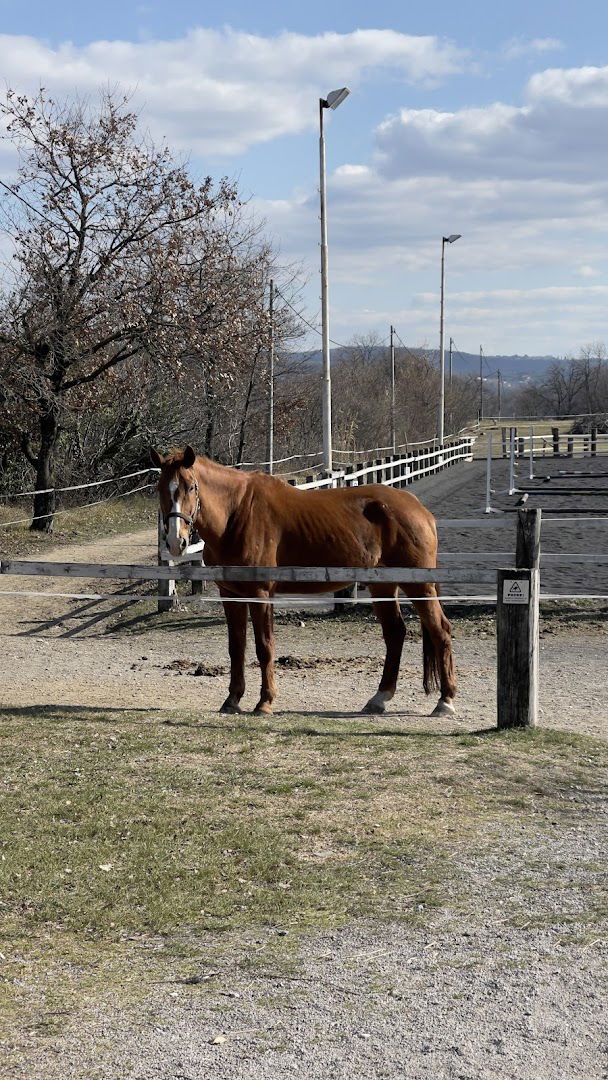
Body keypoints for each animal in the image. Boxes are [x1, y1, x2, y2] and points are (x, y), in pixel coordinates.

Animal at [152, 444, 457, 717]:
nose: (176, 542)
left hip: (418, 586)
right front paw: (232, 700)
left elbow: (264, 647)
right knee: (395, 633)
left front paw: (265, 703)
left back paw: (445, 701)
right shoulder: (231, 594)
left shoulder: (260, 594)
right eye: (160, 488)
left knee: (440, 630)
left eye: (191, 487)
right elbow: (236, 647)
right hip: (382, 585)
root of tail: (420, 510)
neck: (236, 513)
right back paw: (379, 699)